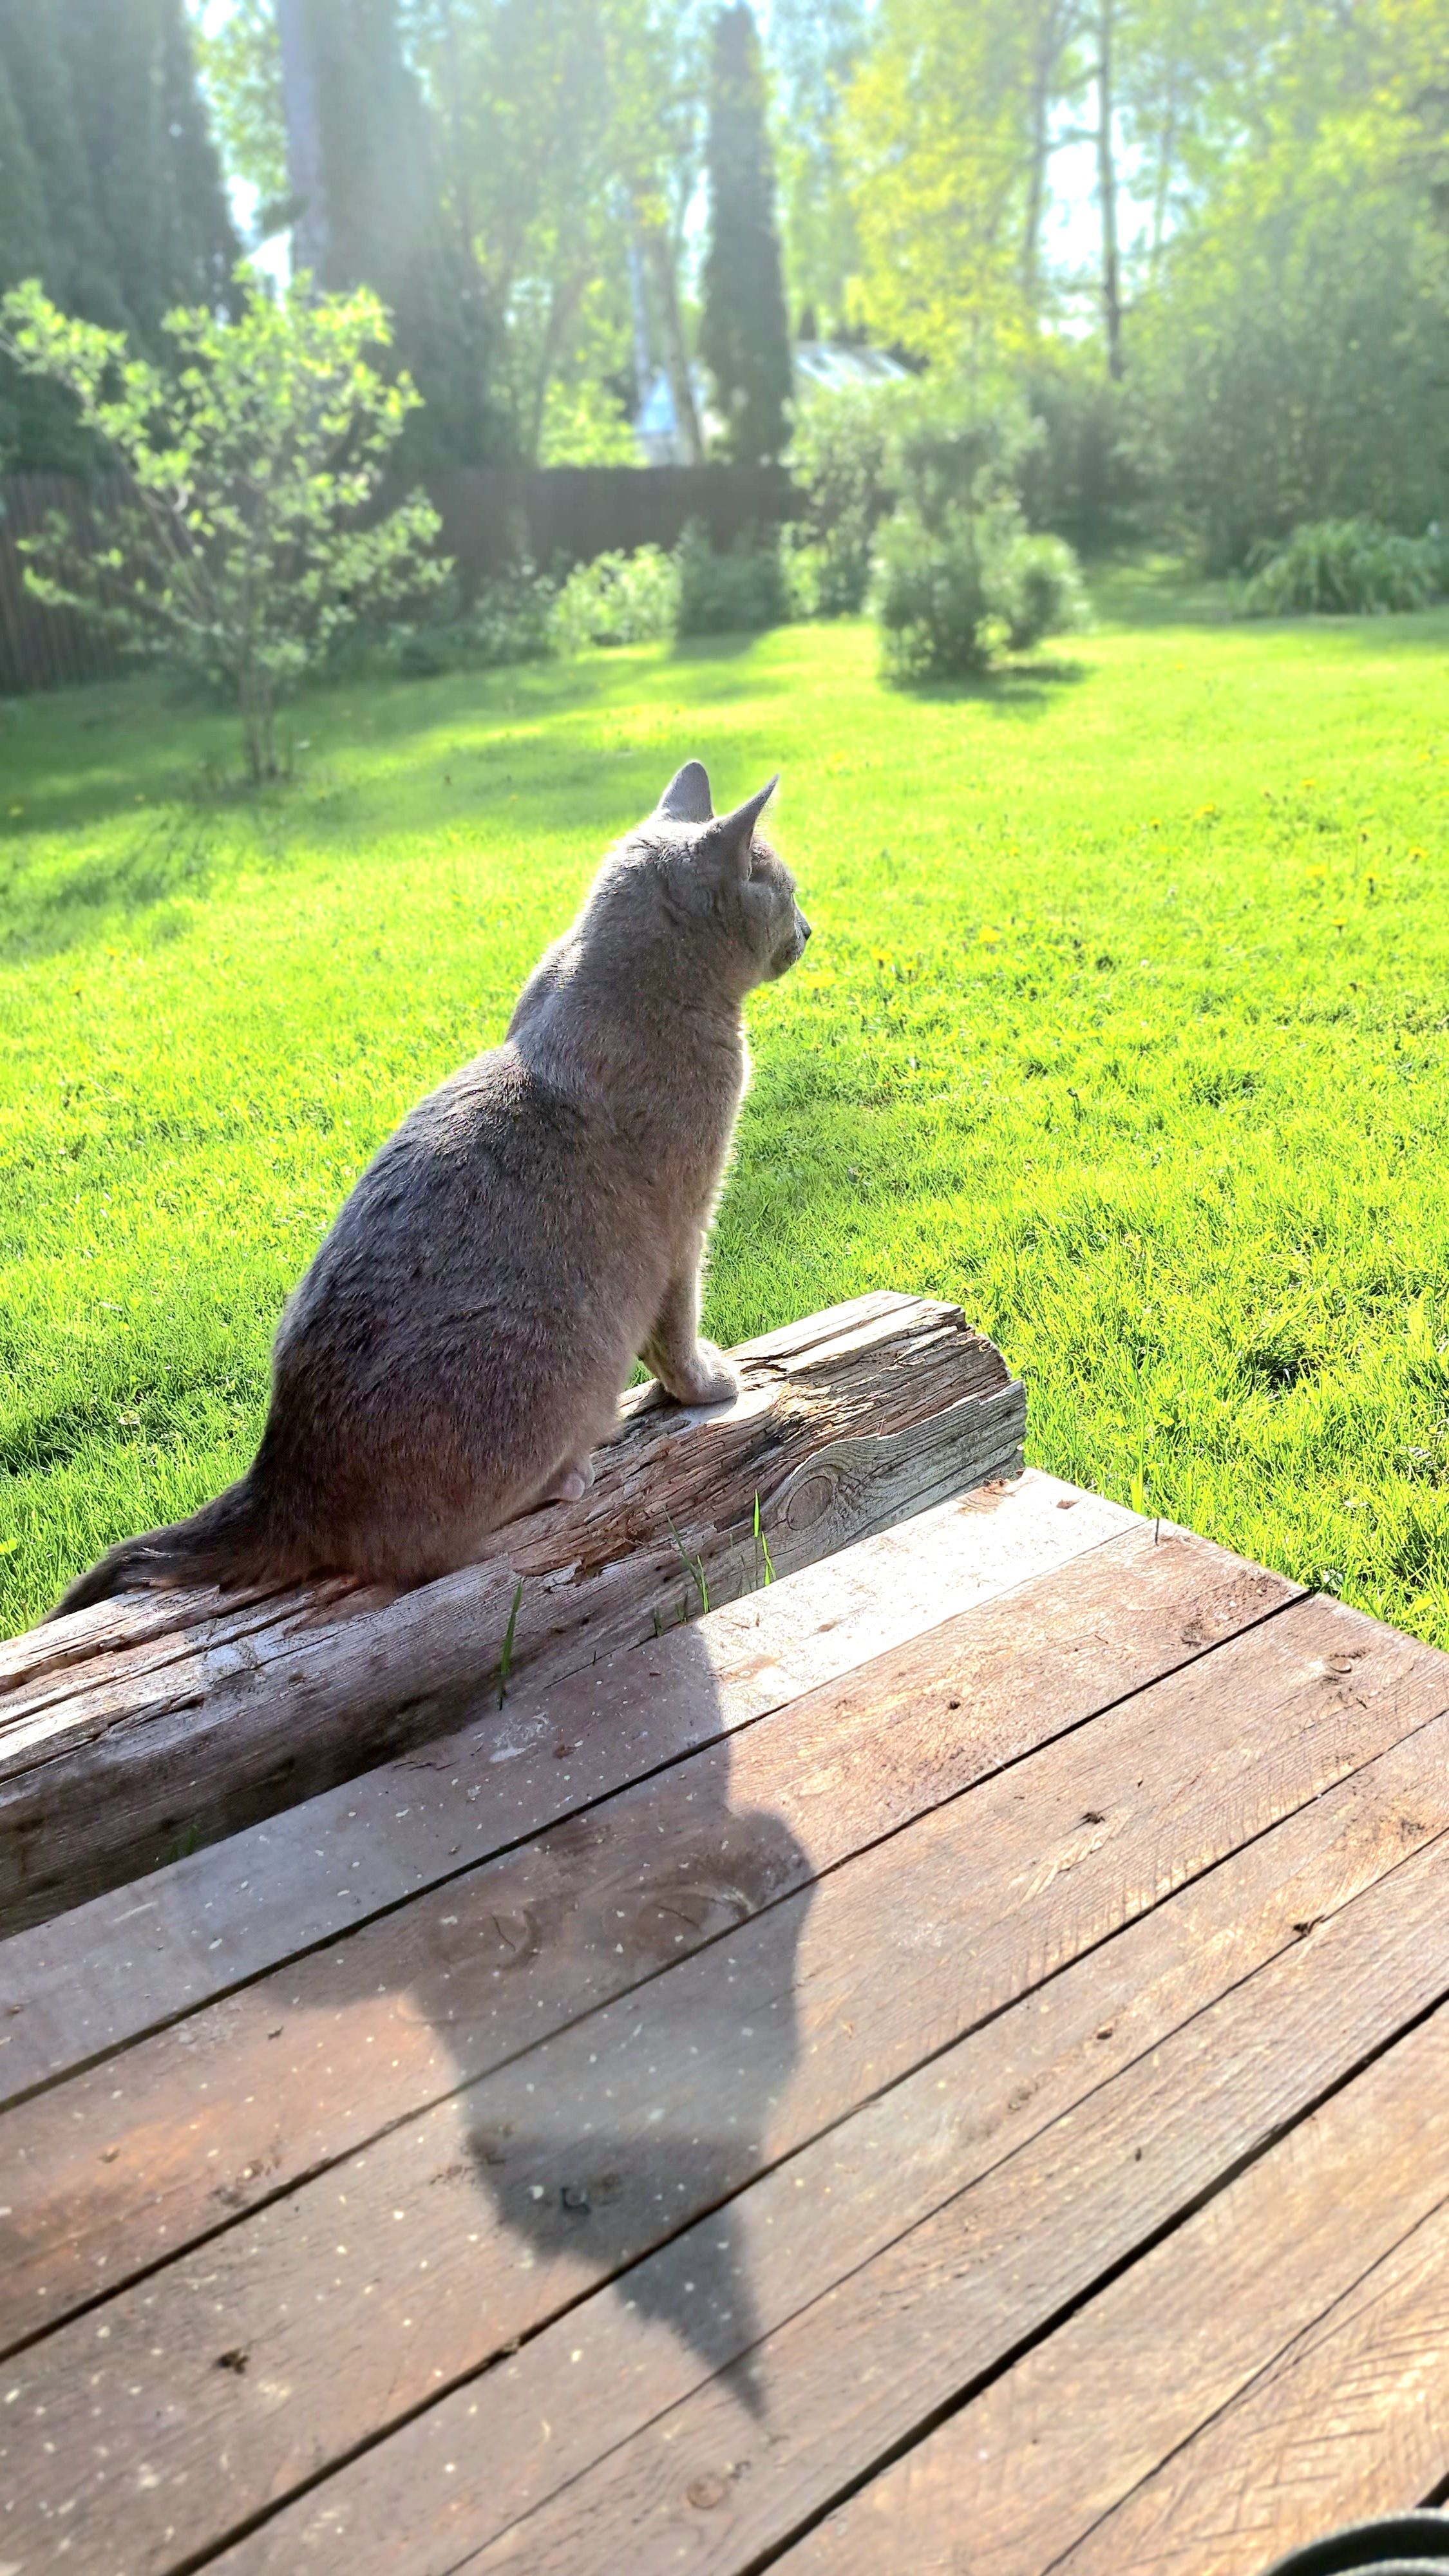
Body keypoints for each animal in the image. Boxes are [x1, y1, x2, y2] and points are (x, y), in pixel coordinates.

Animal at [51, 752, 804, 1618]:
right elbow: (677, 1328)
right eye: (786, 891)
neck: (610, 983)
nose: (810, 929)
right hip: (560, 1352)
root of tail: (282, 1480)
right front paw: (708, 1384)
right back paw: (570, 1469)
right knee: (419, 1553)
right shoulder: (684, 1228)